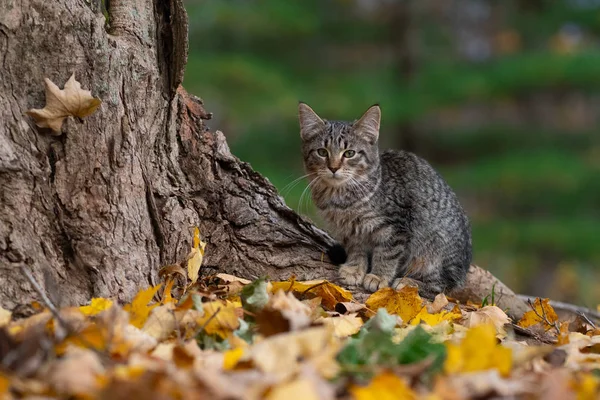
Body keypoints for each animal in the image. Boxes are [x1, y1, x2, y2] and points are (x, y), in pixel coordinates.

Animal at [298, 103, 472, 296]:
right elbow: (356, 250)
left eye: (349, 153)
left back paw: (408, 283)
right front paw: (354, 269)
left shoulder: (395, 226)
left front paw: (378, 276)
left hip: (432, 250)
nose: (333, 167)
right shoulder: (351, 232)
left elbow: (387, 253)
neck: (340, 197)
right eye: (322, 152)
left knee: (441, 287)